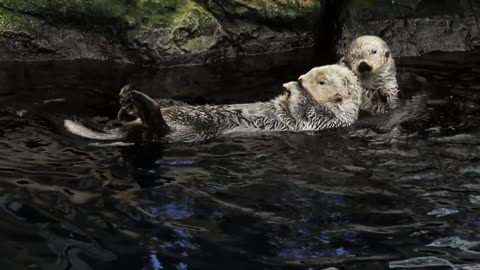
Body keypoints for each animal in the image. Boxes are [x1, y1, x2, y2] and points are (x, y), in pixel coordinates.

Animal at [64, 65, 364, 143]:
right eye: (313, 70)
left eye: (321, 81)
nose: (301, 78)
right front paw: (290, 86)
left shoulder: (326, 119)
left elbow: (305, 110)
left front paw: (292, 87)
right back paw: (127, 98)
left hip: (187, 131)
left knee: (158, 130)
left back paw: (138, 102)